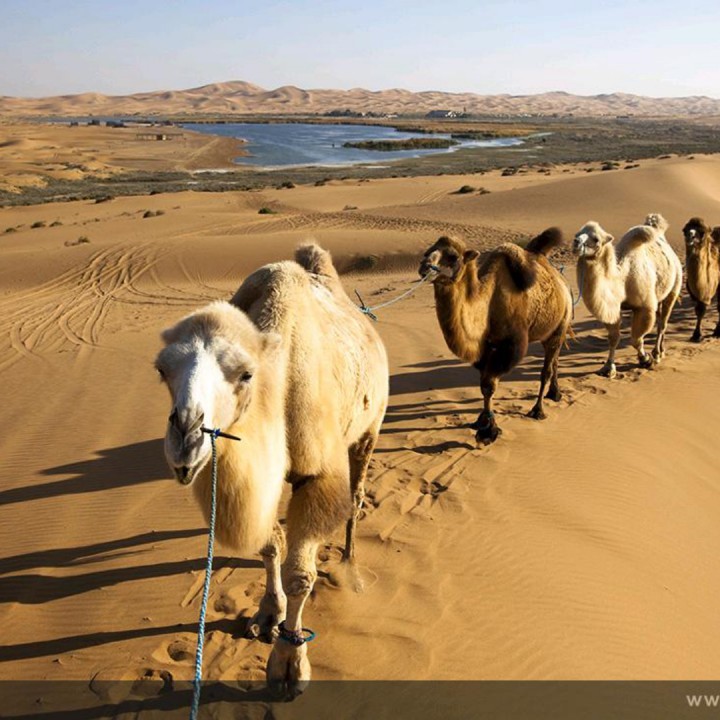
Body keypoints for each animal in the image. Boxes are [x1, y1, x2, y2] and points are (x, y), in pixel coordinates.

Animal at [153, 243, 388, 696]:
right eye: (161, 370)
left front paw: (289, 665)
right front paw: (267, 614)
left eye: (246, 374)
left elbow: (301, 575)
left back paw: (350, 565)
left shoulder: (317, 475)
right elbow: (269, 545)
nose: (185, 438)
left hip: (370, 426)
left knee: (356, 495)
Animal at [420, 231, 572, 444]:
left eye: (453, 256)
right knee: (555, 360)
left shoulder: (509, 346)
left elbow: (490, 384)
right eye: (428, 251)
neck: (487, 305)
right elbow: (483, 384)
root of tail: (562, 282)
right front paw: (481, 422)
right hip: (548, 332)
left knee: (546, 370)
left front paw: (488, 431)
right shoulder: (485, 347)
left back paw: (538, 410)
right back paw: (555, 394)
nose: (424, 266)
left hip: (561, 324)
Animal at [572, 212, 684, 376]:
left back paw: (657, 354)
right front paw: (608, 368)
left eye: (596, 239)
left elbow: (635, 339)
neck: (622, 279)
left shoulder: (644, 307)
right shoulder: (614, 307)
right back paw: (661, 351)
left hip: (674, 288)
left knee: (662, 324)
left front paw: (645, 360)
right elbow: (613, 338)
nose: (576, 243)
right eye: (577, 234)